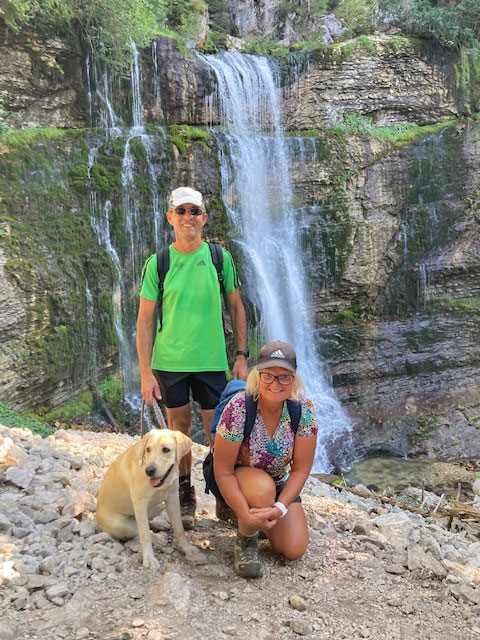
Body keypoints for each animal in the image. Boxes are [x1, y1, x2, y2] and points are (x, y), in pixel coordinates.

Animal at [95, 428, 204, 568]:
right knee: (137, 530)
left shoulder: (173, 498)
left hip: (159, 506)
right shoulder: (140, 503)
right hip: (119, 525)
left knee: (146, 523)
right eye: (148, 449)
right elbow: (145, 534)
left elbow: (179, 528)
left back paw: (159, 524)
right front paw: (149, 559)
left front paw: (187, 548)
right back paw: (157, 538)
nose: (149, 470)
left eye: (166, 449)